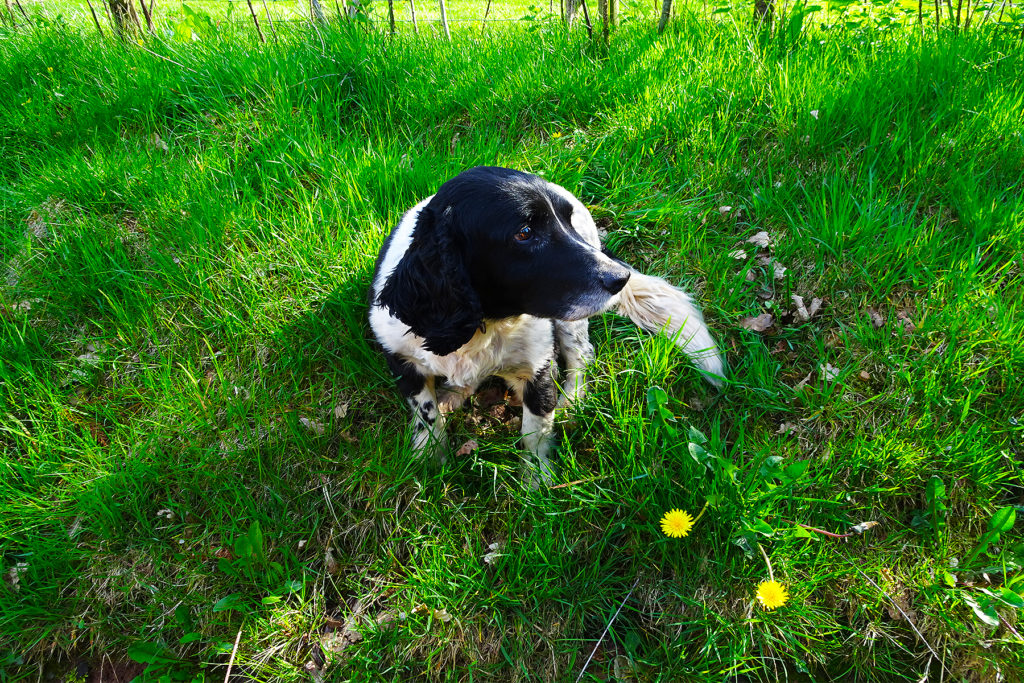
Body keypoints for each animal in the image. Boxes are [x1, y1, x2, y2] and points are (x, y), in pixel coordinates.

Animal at [368, 167, 720, 483]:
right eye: (524, 232)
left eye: (568, 221)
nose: (621, 278)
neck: (485, 324)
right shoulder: (402, 361)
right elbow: (425, 414)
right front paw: (430, 456)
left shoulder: (536, 371)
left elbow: (534, 433)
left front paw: (536, 482)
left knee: (582, 355)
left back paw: (571, 403)